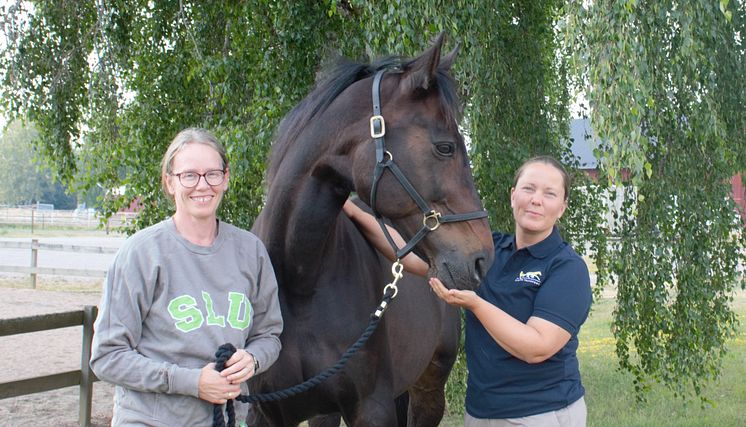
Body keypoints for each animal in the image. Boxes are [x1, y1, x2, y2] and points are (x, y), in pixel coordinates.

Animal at [248, 35, 494, 426]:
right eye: (445, 147)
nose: (482, 258)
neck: (298, 278)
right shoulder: (264, 412)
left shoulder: (372, 407)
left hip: (428, 392)